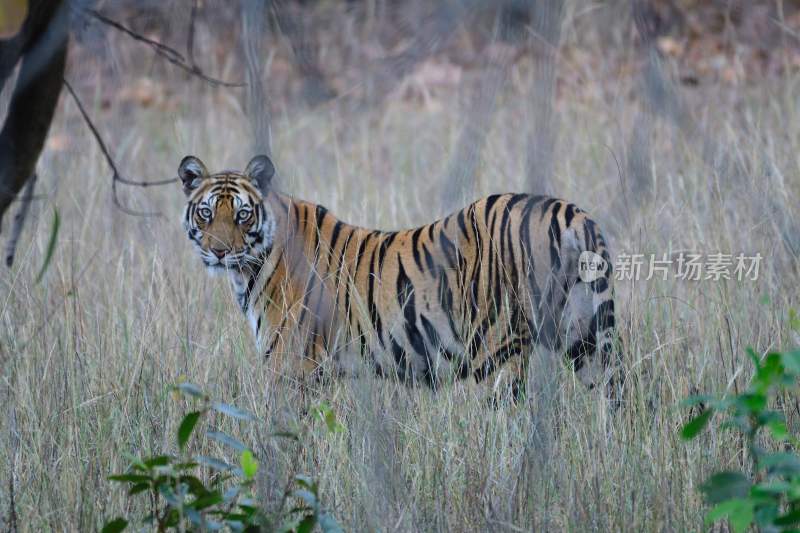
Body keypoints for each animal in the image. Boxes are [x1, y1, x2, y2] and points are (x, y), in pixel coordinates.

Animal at [178, 154, 620, 404]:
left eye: (242, 214)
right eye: (206, 213)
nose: (219, 251)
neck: (249, 269)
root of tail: (570, 212)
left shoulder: (291, 368)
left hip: (499, 347)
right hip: (585, 334)